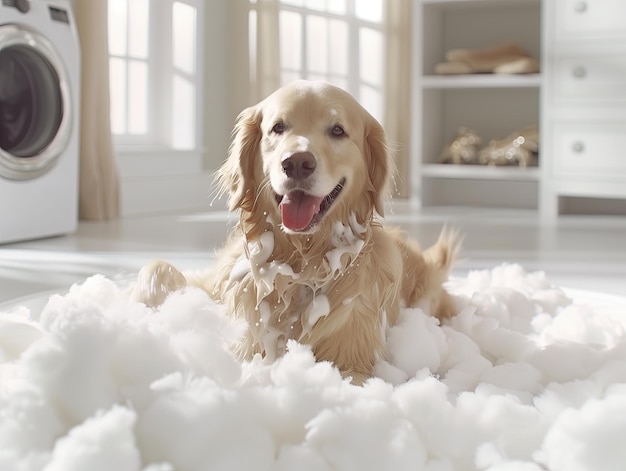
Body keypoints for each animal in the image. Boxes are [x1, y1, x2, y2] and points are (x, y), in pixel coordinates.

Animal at [134, 80, 460, 384]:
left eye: (338, 130)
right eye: (278, 127)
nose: (297, 163)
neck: (299, 262)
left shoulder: (353, 363)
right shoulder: (218, 286)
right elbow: (158, 267)